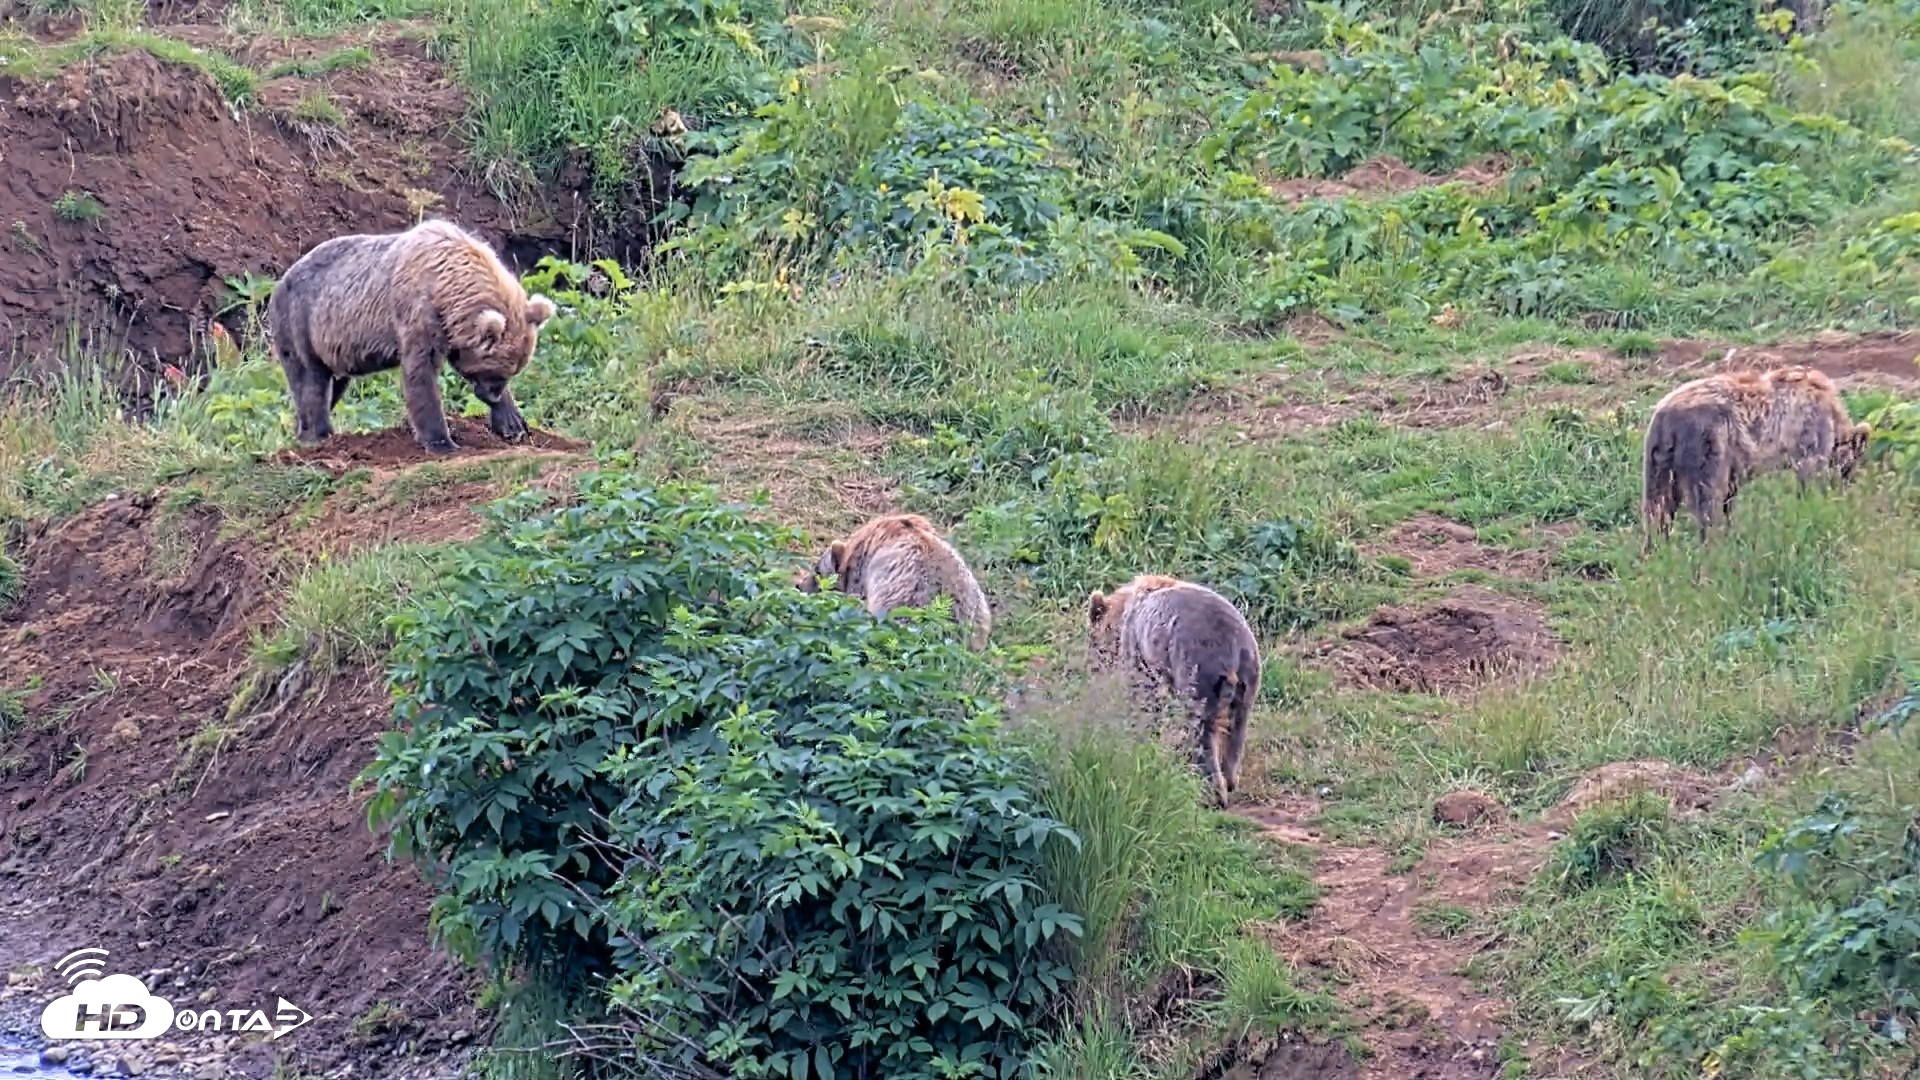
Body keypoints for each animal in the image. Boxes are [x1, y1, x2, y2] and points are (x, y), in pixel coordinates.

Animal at [267, 218, 557, 454]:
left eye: (513, 371)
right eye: (495, 372)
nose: (494, 394)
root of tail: (279, 282)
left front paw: (512, 423)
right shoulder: (419, 314)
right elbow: (421, 374)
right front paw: (443, 442)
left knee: (334, 383)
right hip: (302, 322)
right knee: (311, 379)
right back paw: (317, 434)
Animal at [1086, 574, 1262, 809]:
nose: (1092, 668)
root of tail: (1232, 649)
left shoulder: (1141, 651)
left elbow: (1144, 697)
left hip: (1197, 668)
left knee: (1202, 730)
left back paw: (1213, 791)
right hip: (1249, 673)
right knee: (1238, 723)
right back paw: (1231, 779)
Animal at [1641, 363, 1871, 547]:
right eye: (1850, 466)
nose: (1847, 485)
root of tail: (1666, 416)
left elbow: (1729, 496)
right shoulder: (1810, 432)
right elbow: (1811, 473)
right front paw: (1813, 506)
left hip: (1658, 456)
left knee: (1658, 504)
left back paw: (1655, 546)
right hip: (1707, 441)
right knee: (1707, 498)